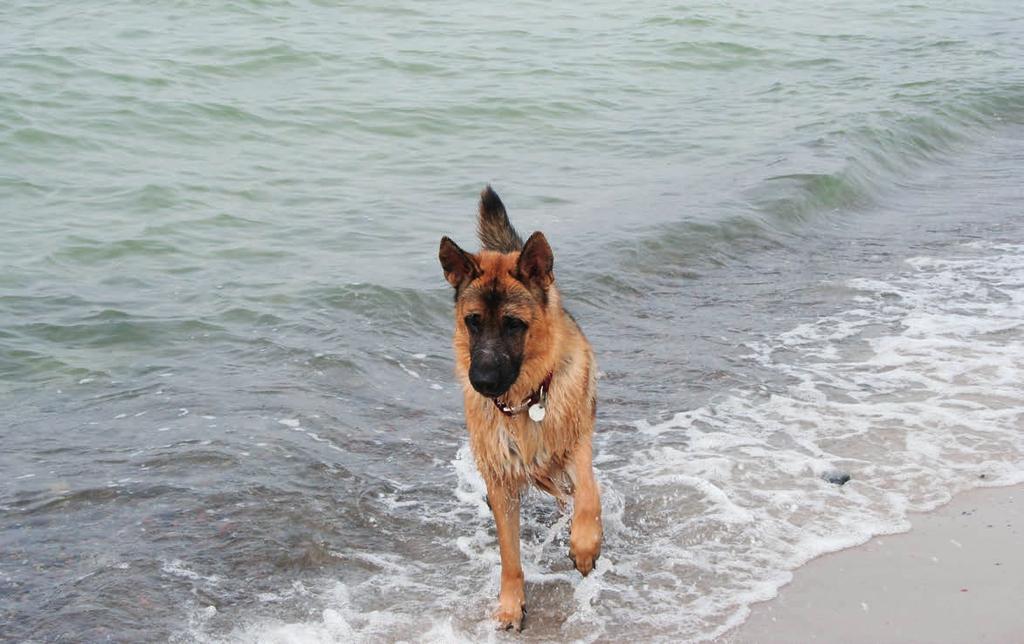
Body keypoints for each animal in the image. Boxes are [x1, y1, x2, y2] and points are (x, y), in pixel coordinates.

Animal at [438, 184, 598, 626]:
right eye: (473, 321)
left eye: (514, 324)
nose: (482, 382)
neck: (526, 401)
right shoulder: (501, 485)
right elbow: (510, 557)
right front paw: (511, 604)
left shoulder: (577, 445)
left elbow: (589, 495)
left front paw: (585, 545)